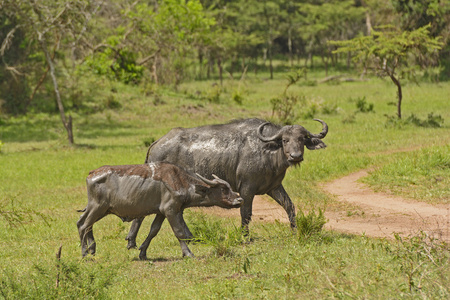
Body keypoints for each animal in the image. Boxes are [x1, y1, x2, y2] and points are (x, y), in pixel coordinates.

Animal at [125, 118, 326, 248]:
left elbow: (289, 206)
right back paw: (131, 241)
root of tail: (157, 143)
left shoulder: (274, 187)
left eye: (302, 139)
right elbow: (246, 213)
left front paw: (294, 231)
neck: (267, 152)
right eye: (285, 140)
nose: (295, 156)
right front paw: (245, 237)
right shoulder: (247, 188)